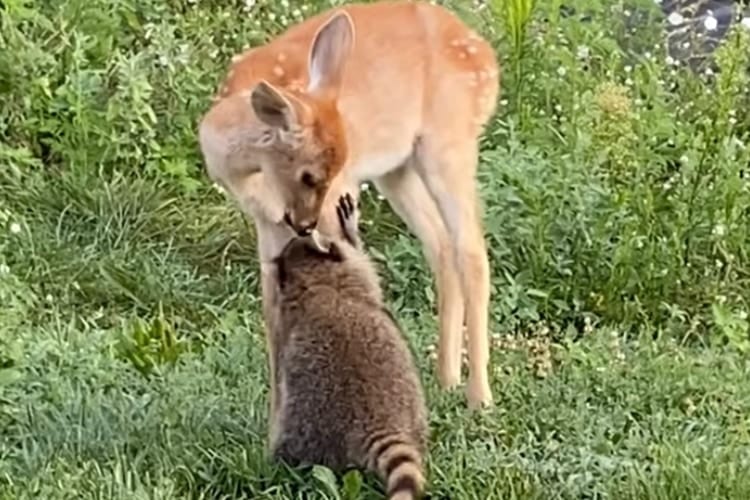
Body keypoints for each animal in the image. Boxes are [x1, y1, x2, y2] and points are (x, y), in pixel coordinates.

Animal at [198, 0, 500, 409]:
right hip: (397, 169)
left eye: (333, 171)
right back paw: (446, 380)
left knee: (472, 250)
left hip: (448, 144)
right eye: (309, 175)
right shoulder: (266, 223)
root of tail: (488, 58)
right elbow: (271, 310)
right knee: (440, 245)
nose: (306, 224)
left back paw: (479, 398)